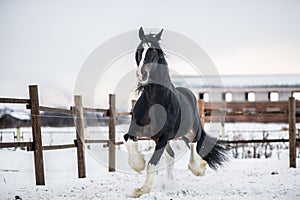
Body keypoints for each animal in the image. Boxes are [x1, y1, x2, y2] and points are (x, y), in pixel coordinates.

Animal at [122, 27, 227, 198]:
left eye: (153, 52)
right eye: (138, 51)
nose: (141, 74)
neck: (155, 103)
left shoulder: (163, 137)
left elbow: (152, 164)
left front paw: (141, 190)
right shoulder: (139, 132)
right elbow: (128, 140)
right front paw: (138, 165)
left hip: (192, 130)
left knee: (193, 144)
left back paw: (198, 169)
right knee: (171, 155)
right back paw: (171, 183)